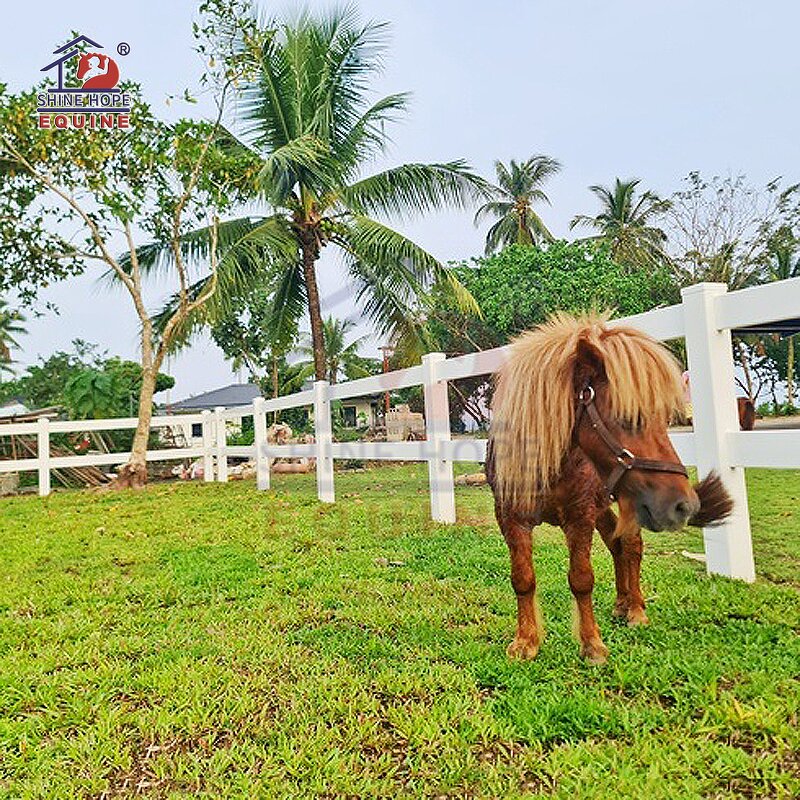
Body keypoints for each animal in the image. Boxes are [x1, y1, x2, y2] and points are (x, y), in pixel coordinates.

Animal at [486, 312, 733, 664]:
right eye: (628, 417)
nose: (686, 505)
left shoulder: (580, 517)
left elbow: (581, 579)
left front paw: (591, 644)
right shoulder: (511, 518)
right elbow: (523, 578)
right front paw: (526, 641)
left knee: (632, 545)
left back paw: (636, 610)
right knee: (617, 544)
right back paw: (620, 604)